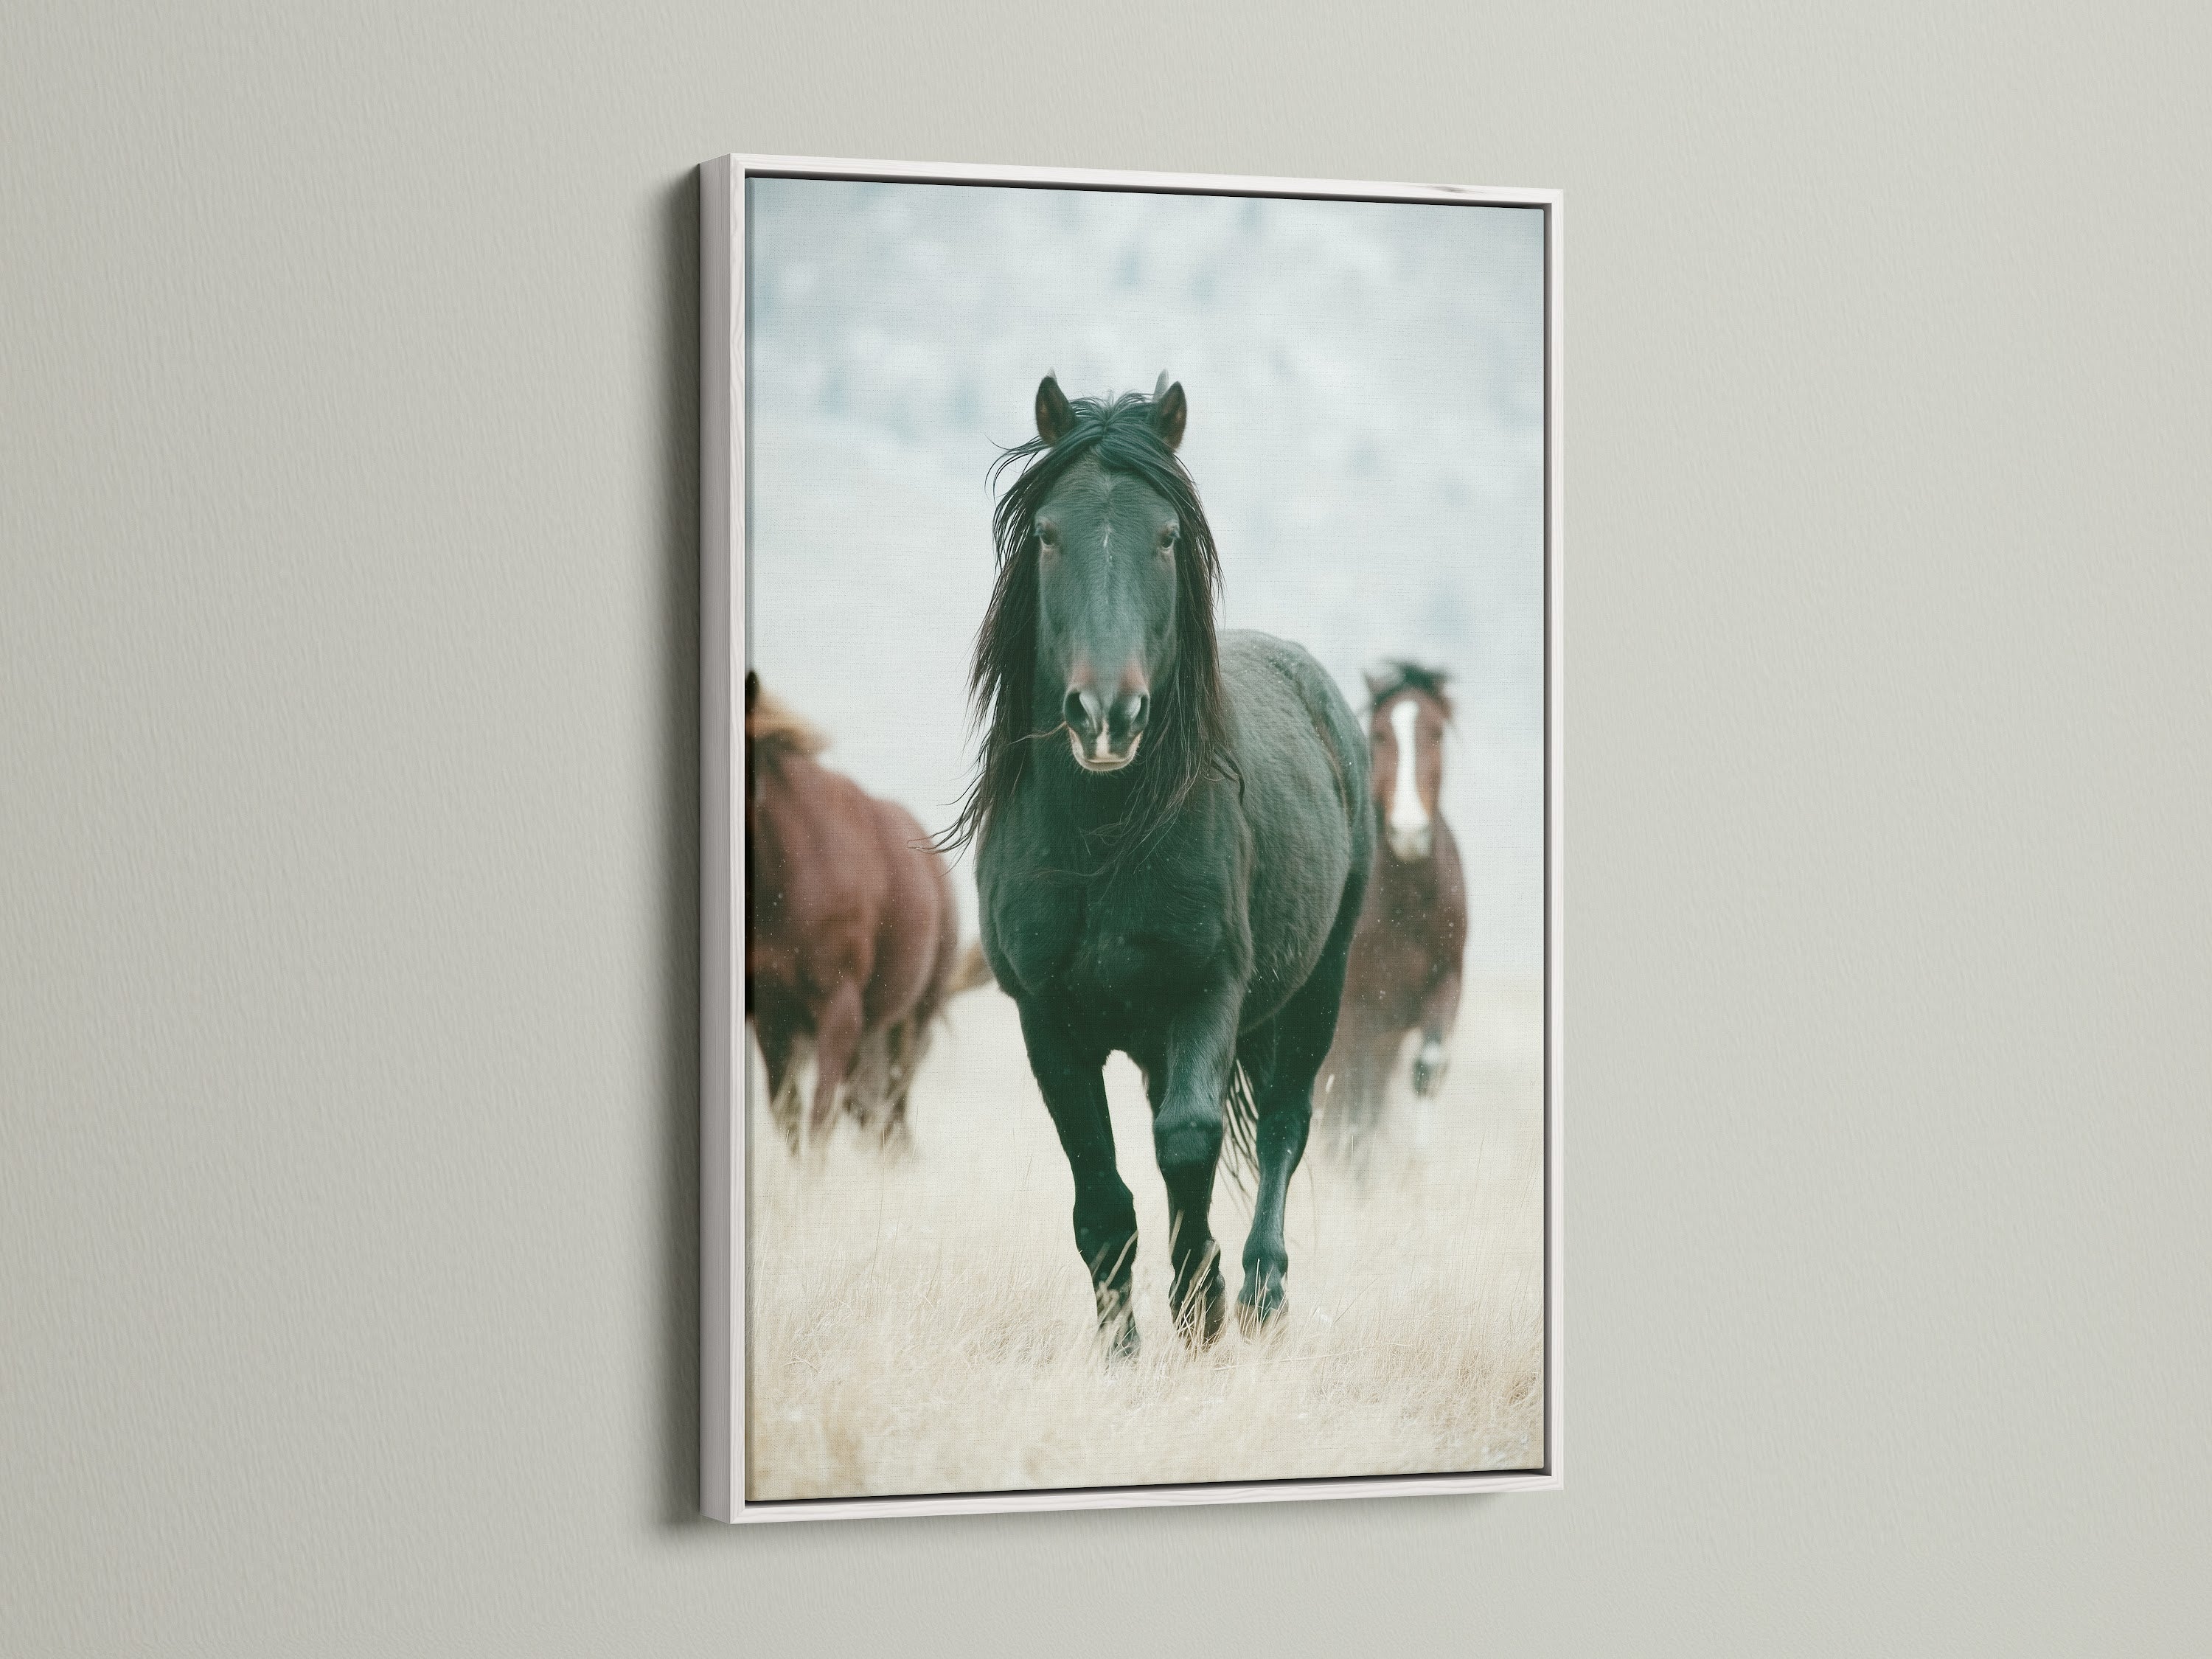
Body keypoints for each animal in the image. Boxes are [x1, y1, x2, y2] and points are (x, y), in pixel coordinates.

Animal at [745, 671, 959, 1154]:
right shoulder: (772, 1017)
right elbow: (789, 1119)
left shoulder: (839, 1009)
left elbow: (818, 1122)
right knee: (871, 1112)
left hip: (910, 1023)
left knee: (891, 1114)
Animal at [945, 373, 1372, 1356]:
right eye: (1049, 534)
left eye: (1168, 536)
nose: (1108, 714)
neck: (1102, 844)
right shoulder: (1047, 1022)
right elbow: (1102, 1195)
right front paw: (1123, 1350)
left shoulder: (1208, 991)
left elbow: (1188, 1140)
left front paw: (1201, 1306)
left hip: (1319, 985)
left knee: (1285, 1125)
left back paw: (1259, 1292)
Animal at [1321, 662, 1468, 1168]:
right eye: (1380, 734)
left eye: (1436, 733)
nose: (1408, 832)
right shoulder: (1356, 1012)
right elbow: (1351, 1102)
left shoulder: (1446, 982)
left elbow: (1426, 1069)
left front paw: (1418, 1168)